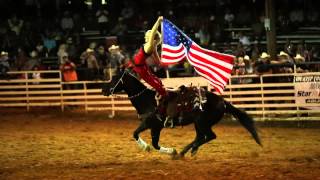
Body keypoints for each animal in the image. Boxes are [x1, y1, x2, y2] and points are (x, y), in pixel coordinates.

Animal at [101, 69, 262, 157]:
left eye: (115, 79)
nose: (103, 90)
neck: (148, 100)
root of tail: (222, 101)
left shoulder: (153, 125)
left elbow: (145, 139)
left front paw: (165, 150)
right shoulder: (153, 126)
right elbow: (146, 139)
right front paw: (171, 151)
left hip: (202, 123)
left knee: (209, 136)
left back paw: (188, 150)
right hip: (199, 124)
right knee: (201, 137)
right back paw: (185, 152)